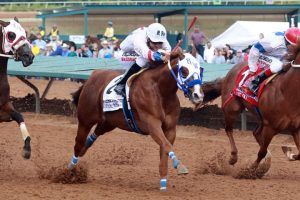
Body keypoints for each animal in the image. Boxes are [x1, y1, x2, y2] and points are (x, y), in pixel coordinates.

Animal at [67, 48, 204, 191]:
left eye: (200, 70)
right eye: (184, 70)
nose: (198, 96)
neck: (160, 91)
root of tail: (92, 77)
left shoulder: (170, 129)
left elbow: (165, 149)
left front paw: (163, 183)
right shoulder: (152, 124)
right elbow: (166, 145)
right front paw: (180, 166)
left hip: (109, 122)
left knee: (91, 138)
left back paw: (82, 152)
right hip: (85, 120)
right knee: (78, 144)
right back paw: (70, 170)